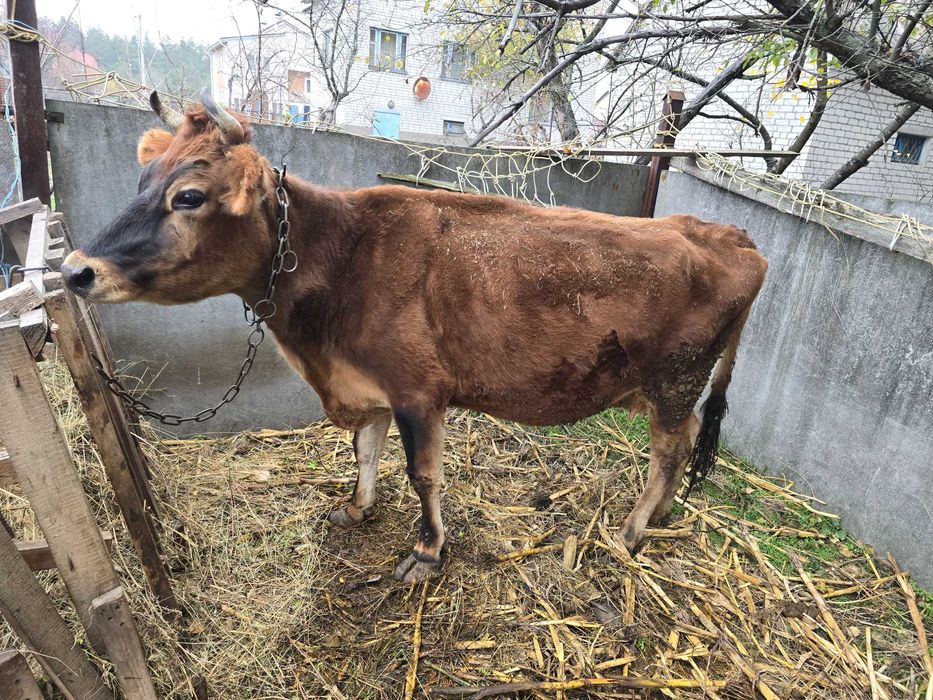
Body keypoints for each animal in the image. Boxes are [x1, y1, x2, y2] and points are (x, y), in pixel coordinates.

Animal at [61, 91, 767, 582]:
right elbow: (364, 452)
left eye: (188, 196)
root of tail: (727, 233)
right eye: (143, 183)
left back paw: (632, 531)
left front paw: (427, 552)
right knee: (680, 451)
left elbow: (422, 474)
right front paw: (356, 508)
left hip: (676, 381)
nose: (74, 270)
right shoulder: (364, 382)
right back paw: (661, 516)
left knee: (668, 454)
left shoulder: (418, 391)